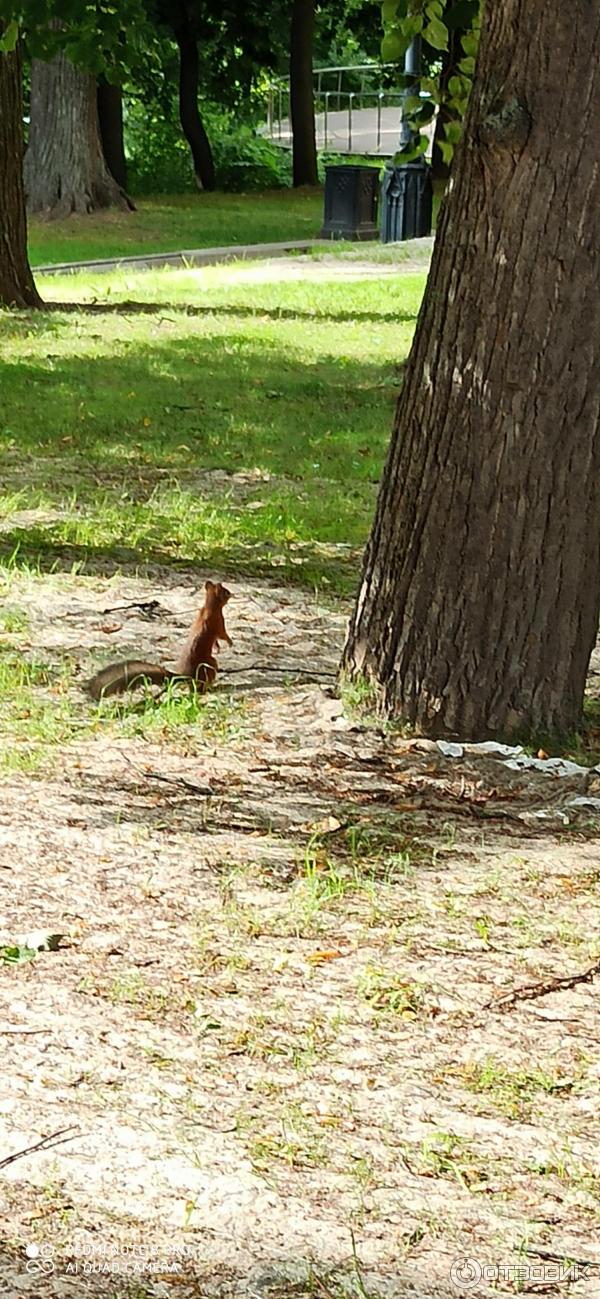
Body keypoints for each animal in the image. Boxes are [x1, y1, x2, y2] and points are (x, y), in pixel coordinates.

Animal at [85, 581, 231, 701]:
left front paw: (218, 646)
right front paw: (229, 642)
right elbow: (222, 635)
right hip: (210, 664)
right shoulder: (219, 622)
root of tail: (185, 676)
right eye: (225, 591)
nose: (231, 594)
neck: (209, 607)